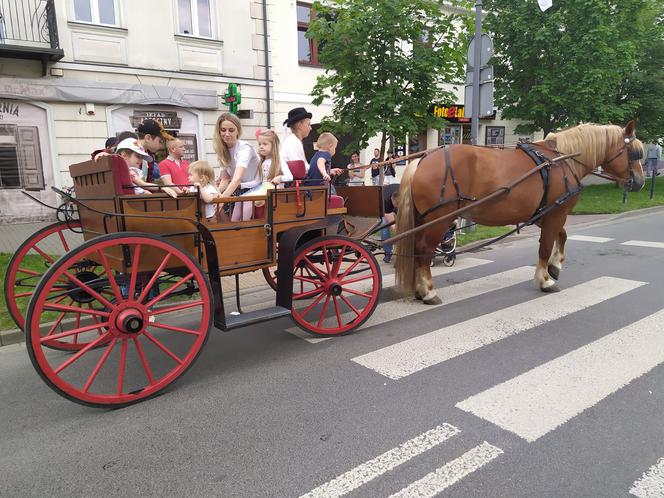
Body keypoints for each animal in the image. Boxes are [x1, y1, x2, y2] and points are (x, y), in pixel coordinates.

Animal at [394, 122, 644, 306]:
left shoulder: (544, 214)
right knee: (424, 250)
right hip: (440, 219)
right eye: (634, 152)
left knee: (417, 250)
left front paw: (555, 266)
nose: (640, 183)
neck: (563, 159)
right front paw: (545, 280)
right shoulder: (556, 213)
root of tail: (422, 160)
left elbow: (562, 236)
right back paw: (428, 292)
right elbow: (545, 246)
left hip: (425, 219)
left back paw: (419, 290)